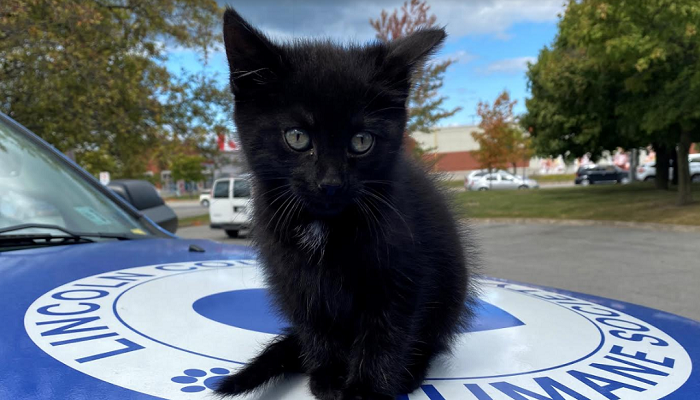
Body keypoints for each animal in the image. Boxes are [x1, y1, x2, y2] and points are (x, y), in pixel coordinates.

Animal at [217, 7, 476, 400]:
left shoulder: (402, 271)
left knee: (430, 336)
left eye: (361, 141)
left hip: (451, 286)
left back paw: (411, 371)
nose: (330, 183)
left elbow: (386, 333)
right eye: (297, 137)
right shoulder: (295, 279)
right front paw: (329, 375)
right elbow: (315, 325)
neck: (324, 225)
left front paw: (365, 389)